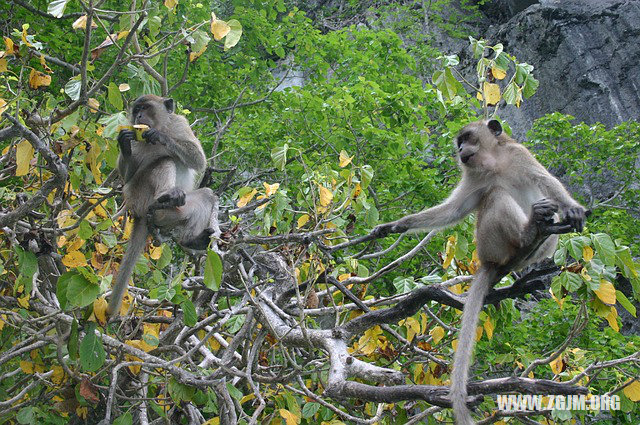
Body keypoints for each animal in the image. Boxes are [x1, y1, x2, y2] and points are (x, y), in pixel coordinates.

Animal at [109, 96, 219, 314]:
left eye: (145, 108)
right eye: (136, 109)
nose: (138, 116)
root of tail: (138, 212)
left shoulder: (180, 124)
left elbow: (198, 159)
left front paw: (161, 137)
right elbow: (126, 176)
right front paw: (124, 143)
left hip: (176, 208)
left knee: (206, 195)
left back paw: (190, 240)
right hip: (139, 195)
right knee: (164, 160)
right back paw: (166, 195)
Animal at [372, 119, 588, 424]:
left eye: (467, 137)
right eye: (459, 141)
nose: (461, 149)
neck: (494, 163)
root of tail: (487, 260)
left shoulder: (519, 154)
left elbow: (546, 181)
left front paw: (573, 208)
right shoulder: (474, 177)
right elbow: (454, 210)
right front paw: (397, 225)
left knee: (536, 210)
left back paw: (533, 238)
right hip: (489, 243)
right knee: (494, 195)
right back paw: (526, 233)